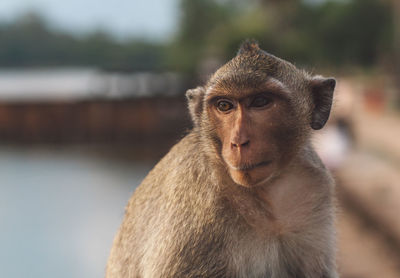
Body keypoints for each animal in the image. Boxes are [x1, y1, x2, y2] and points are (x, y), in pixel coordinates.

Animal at [105, 40, 338, 278]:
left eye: (260, 101)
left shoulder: (314, 186)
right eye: (225, 105)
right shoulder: (197, 205)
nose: (238, 141)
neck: (264, 196)